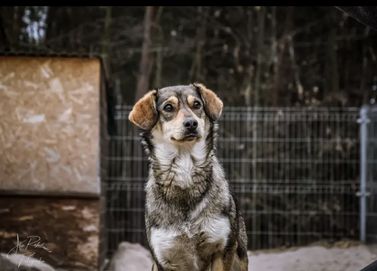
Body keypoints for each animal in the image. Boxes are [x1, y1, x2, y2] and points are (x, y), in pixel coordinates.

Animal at [128, 83, 248, 271]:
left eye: (197, 105)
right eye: (168, 108)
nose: (191, 123)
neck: (185, 169)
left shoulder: (222, 249)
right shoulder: (164, 259)